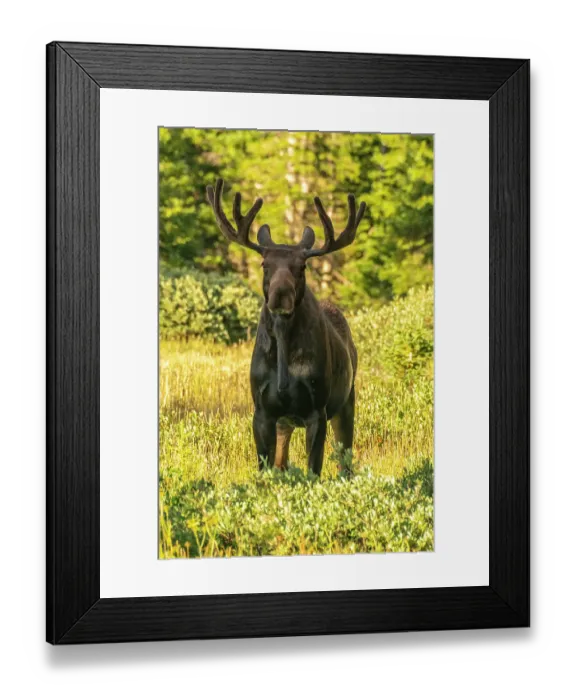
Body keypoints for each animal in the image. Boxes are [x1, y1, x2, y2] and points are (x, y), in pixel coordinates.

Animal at [206, 179, 366, 477]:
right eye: (264, 264)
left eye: (302, 266)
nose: (281, 294)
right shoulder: (262, 410)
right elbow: (266, 469)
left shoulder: (317, 409)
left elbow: (313, 471)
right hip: (285, 422)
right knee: (282, 462)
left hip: (346, 400)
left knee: (345, 464)